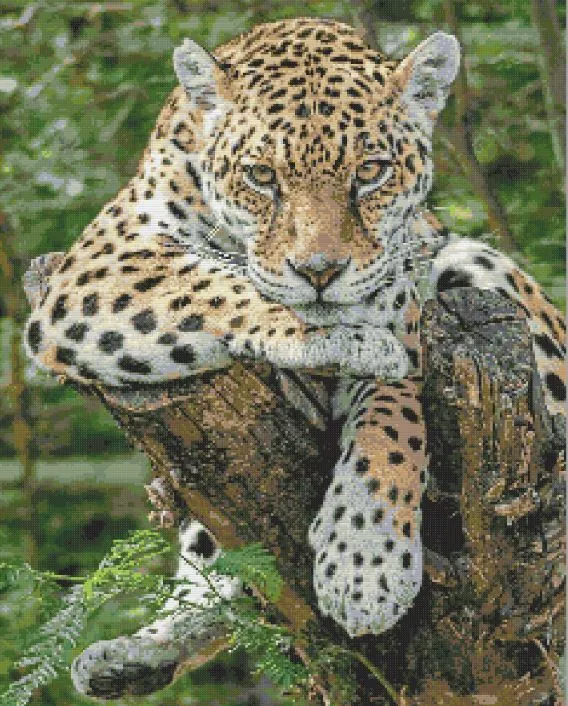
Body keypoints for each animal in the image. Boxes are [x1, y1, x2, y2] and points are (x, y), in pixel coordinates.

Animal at [23, 17, 565, 696]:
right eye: (261, 176)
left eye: (371, 171)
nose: (320, 271)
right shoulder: (103, 260)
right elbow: (219, 283)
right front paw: (340, 338)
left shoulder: (410, 316)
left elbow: (394, 423)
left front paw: (365, 561)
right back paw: (133, 656)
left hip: (476, 266)